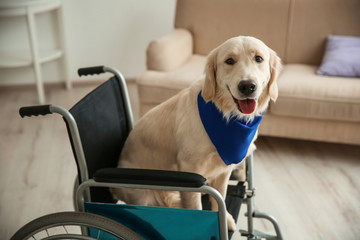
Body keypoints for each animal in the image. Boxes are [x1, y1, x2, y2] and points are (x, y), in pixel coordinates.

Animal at [110, 36, 282, 231]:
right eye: (229, 61)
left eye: (258, 59)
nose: (247, 86)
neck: (227, 116)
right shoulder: (190, 169)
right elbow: (195, 206)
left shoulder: (223, 169)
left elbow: (220, 198)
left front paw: (225, 220)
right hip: (141, 194)